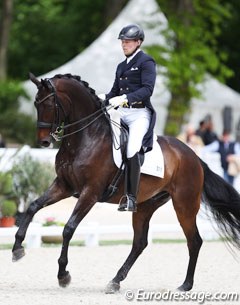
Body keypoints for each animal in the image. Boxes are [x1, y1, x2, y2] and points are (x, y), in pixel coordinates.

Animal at [12, 72, 240, 292]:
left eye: (50, 104)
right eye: (36, 104)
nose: (44, 141)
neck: (85, 138)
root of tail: (192, 156)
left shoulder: (90, 192)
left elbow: (68, 228)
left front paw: (63, 275)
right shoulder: (64, 186)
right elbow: (33, 206)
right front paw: (17, 249)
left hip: (185, 205)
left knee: (194, 241)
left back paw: (185, 285)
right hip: (146, 205)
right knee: (140, 243)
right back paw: (115, 281)